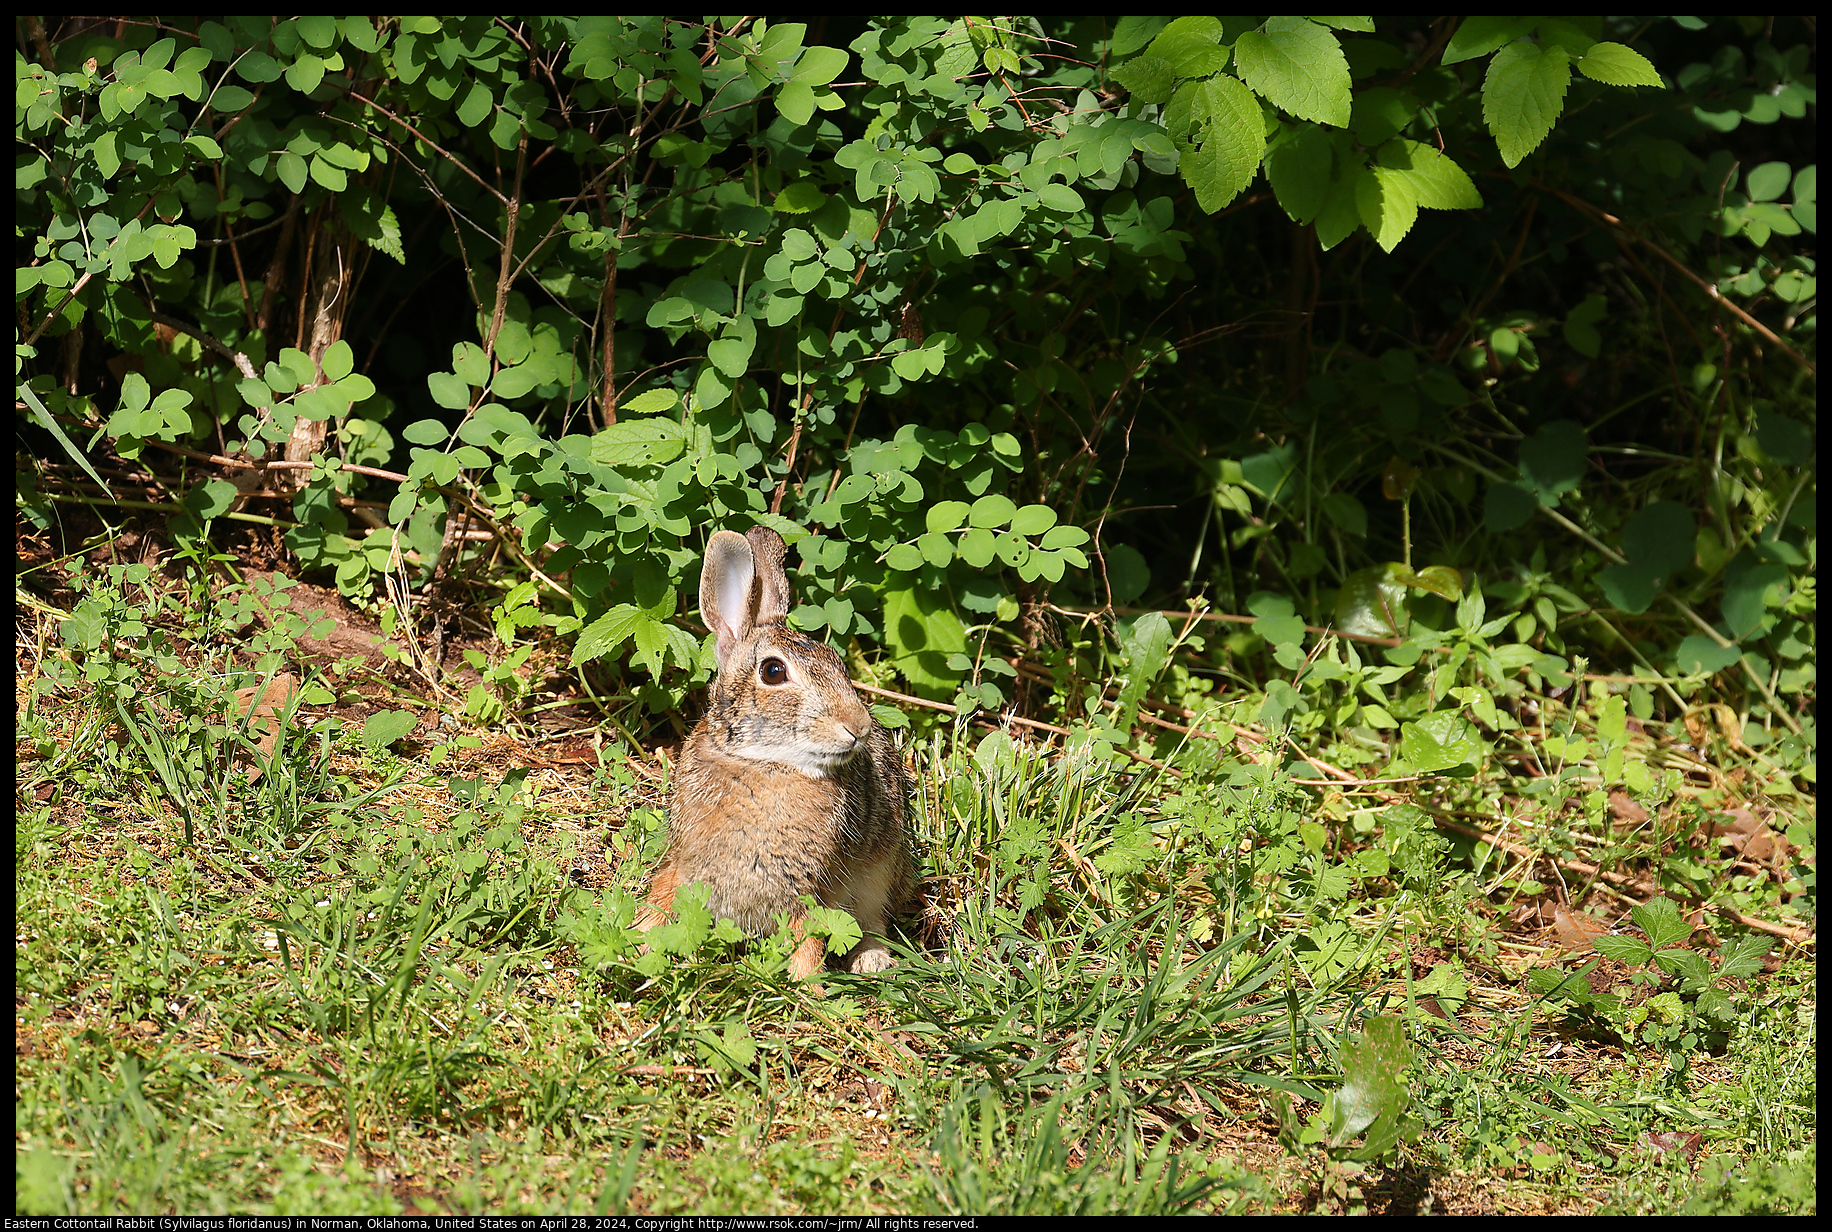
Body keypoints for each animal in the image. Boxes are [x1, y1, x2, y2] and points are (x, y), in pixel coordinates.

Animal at [633, 524, 912, 975]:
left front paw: (808, 986)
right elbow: (661, 900)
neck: (762, 763)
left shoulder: (814, 887)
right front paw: (635, 944)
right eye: (774, 671)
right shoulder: (683, 864)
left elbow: (810, 940)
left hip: (880, 871)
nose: (859, 727)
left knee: (873, 922)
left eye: (838, 663)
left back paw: (870, 960)